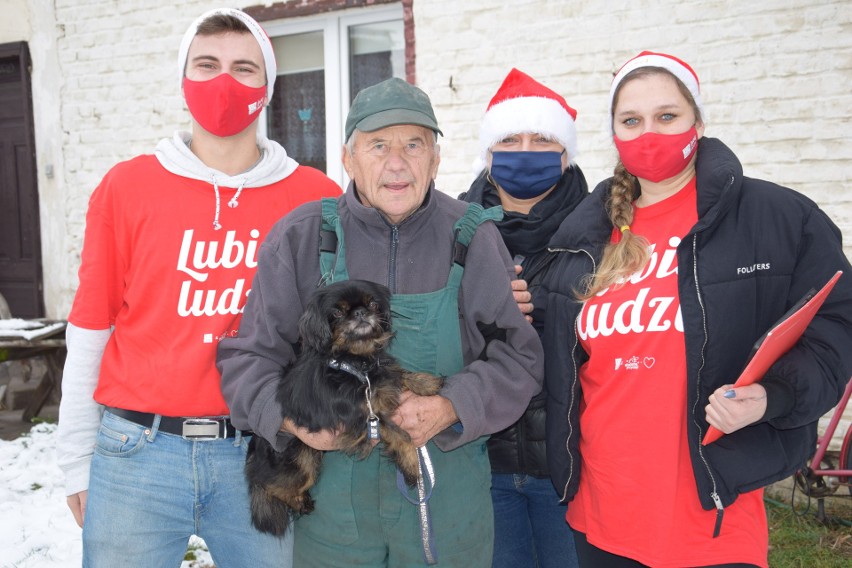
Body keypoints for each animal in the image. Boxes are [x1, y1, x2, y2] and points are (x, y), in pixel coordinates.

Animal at [245, 280, 442, 536]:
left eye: (373, 304)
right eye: (337, 313)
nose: (360, 313)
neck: (354, 362)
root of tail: (254, 446)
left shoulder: (377, 375)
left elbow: (396, 373)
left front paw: (426, 382)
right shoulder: (364, 418)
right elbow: (400, 434)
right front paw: (410, 464)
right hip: (304, 461)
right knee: (268, 483)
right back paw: (298, 502)